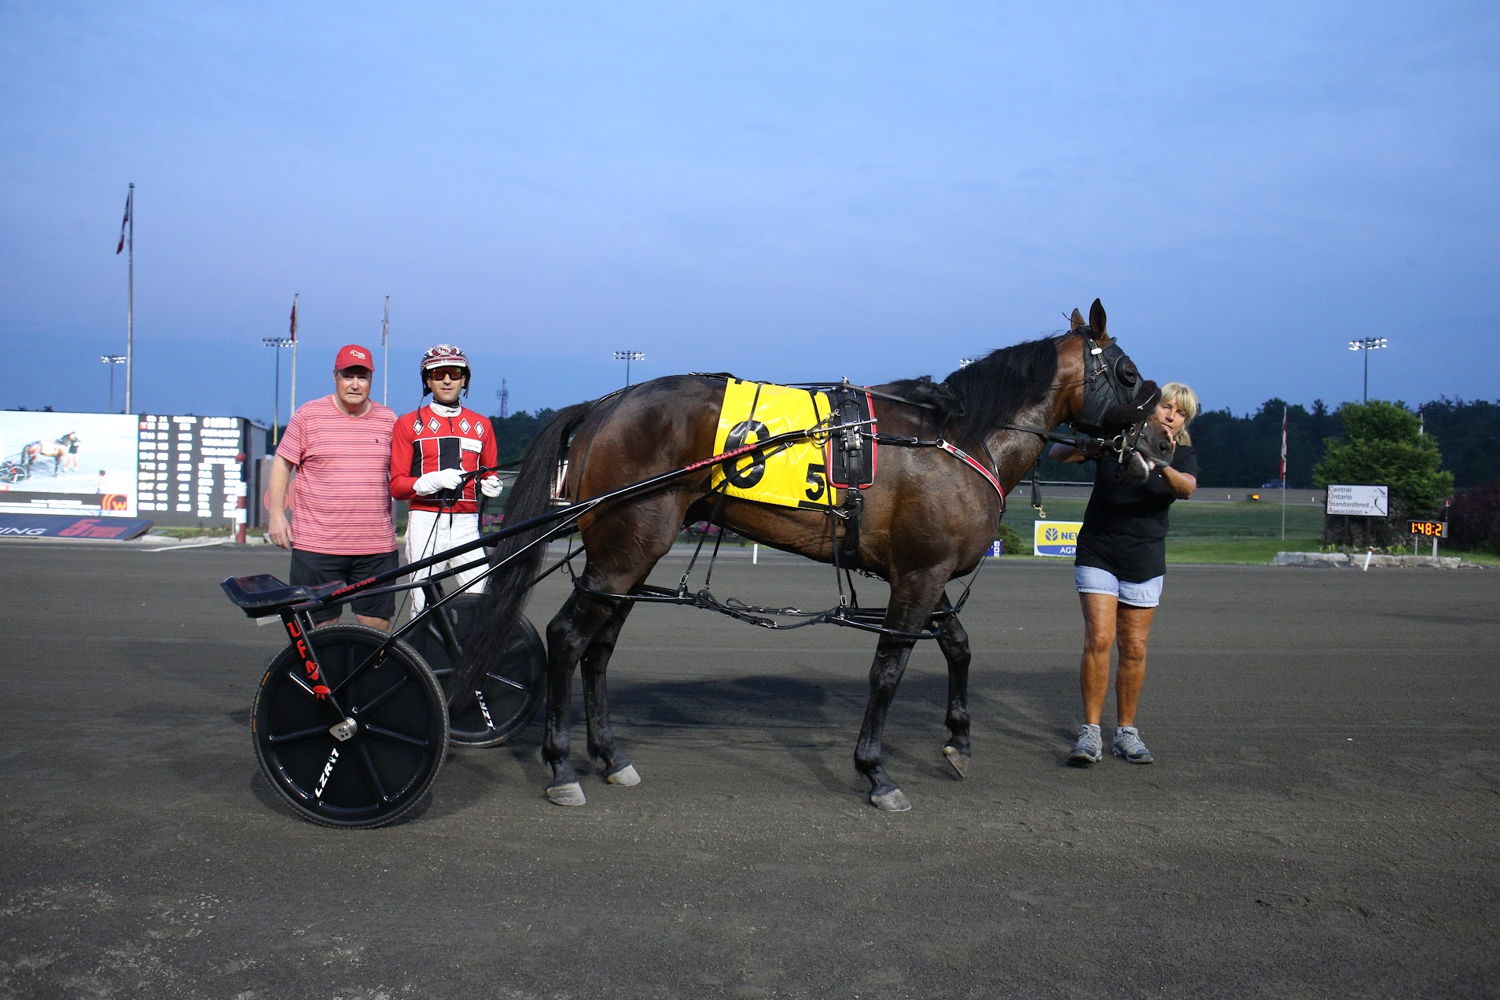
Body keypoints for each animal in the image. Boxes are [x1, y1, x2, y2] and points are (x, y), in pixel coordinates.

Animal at [462, 299, 1164, 815]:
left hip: (628, 554)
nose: (1163, 437)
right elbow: (888, 670)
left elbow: (959, 644)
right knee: (567, 636)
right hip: (627, 544)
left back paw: (610, 757)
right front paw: (876, 772)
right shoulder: (918, 576)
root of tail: (605, 405)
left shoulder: (923, 570)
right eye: (1128, 372)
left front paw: (958, 739)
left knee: (598, 648)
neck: (957, 440)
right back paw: (560, 765)